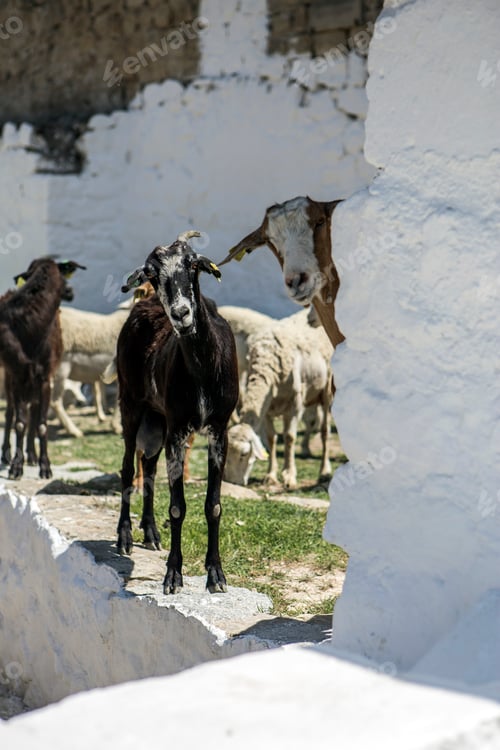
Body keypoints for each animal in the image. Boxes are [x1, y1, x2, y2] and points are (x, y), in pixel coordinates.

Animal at [0, 258, 85, 478]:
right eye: (63, 274)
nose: (70, 291)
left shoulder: (45, 378)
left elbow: (42, 424)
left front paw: (44, 466)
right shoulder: (18, 376)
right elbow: (19, 422)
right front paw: (16, 466)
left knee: (34, 410)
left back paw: (32, 455)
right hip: (10, 376)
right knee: (11, 413)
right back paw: (7, 455)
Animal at [116, 231, 239, 594]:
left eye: (193, 265)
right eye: (152, 273)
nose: (182, 313)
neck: (203, 367)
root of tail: (143, 306)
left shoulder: (218, 430)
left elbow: (213, 505)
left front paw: (216, 575)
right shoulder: (178, 430)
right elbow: (177, 507)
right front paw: (173, 575)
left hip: (157, 420)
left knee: (148, 466)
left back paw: (150, 532)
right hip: (131, 405)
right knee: (129, 468)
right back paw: (125, 536)